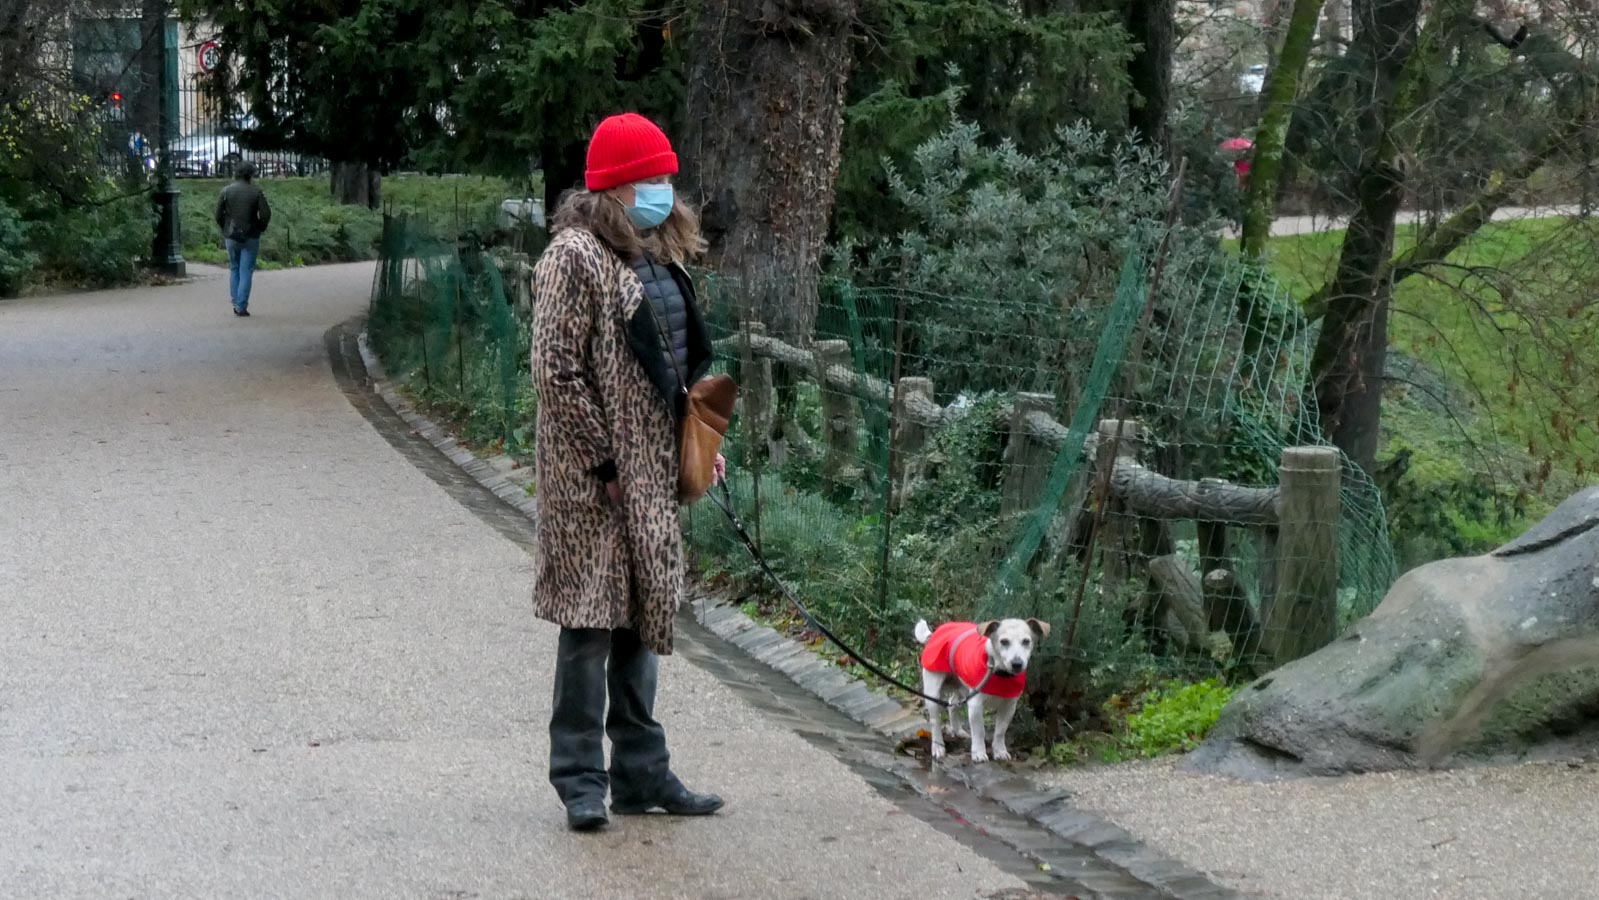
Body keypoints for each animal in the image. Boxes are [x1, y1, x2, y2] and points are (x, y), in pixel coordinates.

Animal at [914, 618, 1050, 763]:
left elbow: (1000, 731)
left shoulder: (1009, 707)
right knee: (935, 721)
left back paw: (958, 731)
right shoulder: (975, 705)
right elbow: (979, 731)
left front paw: (1000, 751)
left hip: (963, 688)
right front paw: (979, 752)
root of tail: (933, 634)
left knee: (952, 705)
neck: (998, 672)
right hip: (933, 691)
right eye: (1004, 641)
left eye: (1026, 641)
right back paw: (938, 746)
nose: (1017, 664)